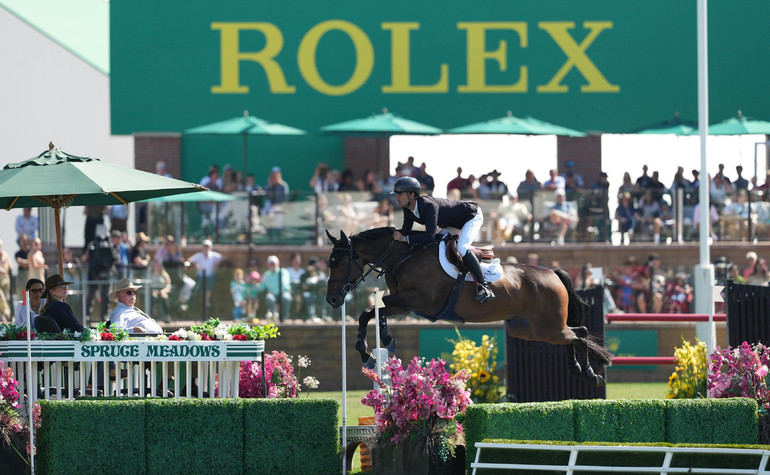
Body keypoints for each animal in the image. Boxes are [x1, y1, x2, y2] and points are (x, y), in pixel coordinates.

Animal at [320, 227, 608, 386]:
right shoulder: (404, 305)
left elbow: (369, 312)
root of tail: (552, 273)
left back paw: (589, 373)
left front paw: (372, 349)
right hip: (529, 329)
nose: (332, 300)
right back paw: (578, 370)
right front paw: (375, 348)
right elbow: (373, 312)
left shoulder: (416, 300)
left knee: (580, 334)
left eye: (338, 261)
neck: (403, 256)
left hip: (547, 327)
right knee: (574, 334)